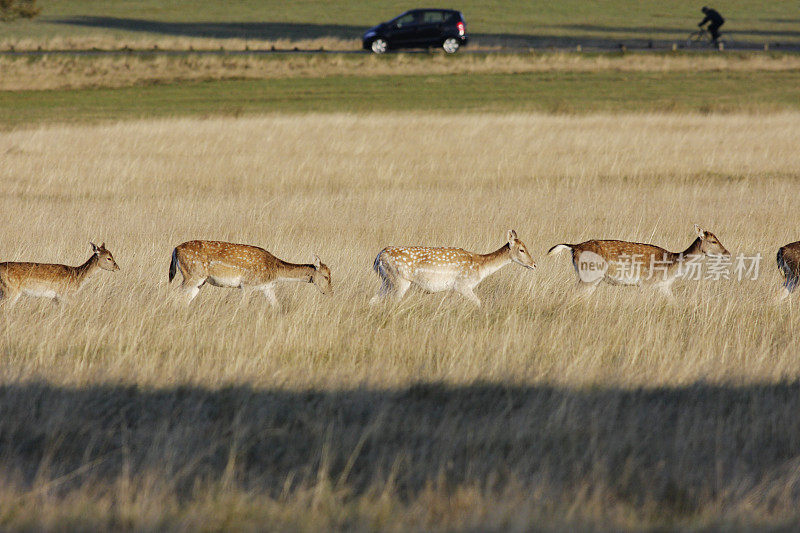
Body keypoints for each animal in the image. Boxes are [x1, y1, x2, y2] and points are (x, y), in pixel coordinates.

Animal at [169, 239, 332, 306]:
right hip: (192, 275)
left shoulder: (268, 287)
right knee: (177, 296)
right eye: (326, 276)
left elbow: (277, 306)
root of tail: (175, 249)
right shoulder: (247, 285)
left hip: (199, 281)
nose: (330, 292)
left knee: (185, 299)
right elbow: (244, 306)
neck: (275, 271)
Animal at [370, 229, 536, 308]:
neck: (481, 268)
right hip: (399, 280)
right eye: (521, 249)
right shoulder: (463, 285)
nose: (534, 264)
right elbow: (479, 302)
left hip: (386, 281)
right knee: (392, 301)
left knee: (373, 299)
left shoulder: (452, 289)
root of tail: (378, 258)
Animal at [548, 223, 728, 300]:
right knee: (570, 293)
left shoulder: (664, 287)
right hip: (589, 274)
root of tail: (573, 247)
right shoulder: (645, 284)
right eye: (713, 241)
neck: (671, 267)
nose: (727, 253)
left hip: (593, 279)